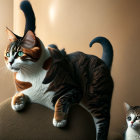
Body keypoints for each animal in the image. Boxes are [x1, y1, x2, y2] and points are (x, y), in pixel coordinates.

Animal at [4, 1, 114, 140]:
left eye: (19, 53)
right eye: (7, 54)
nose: (10, 62)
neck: (30, 75)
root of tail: (102, 61)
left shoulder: (74, 89)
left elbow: (61, 100)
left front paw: (59, 119)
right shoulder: (25, 90)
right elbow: (19, 93)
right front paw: (17, 101)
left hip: (97, 98)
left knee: (103, 122)